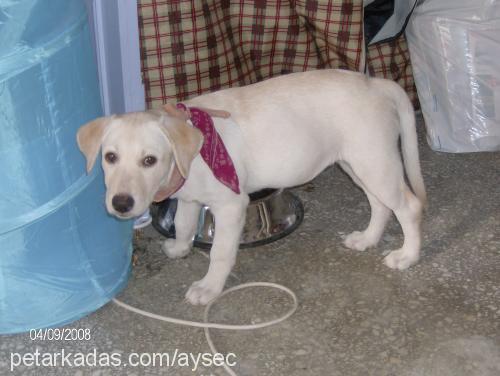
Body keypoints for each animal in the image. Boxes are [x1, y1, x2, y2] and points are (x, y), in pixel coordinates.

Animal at [77, 70, 426, 306]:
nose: (121, 204)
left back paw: (407, 256)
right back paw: (367, 239)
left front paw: (209, 287)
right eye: (110, 157)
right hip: (357, 164)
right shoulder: (190, 199)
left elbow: (219, 252)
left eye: (149, 160)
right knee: (380, 204)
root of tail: (377, 83)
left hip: (375, 162)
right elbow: (183, 223)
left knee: (408, 207)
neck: (189, 153)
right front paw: (180, 247)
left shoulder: (231, 206)